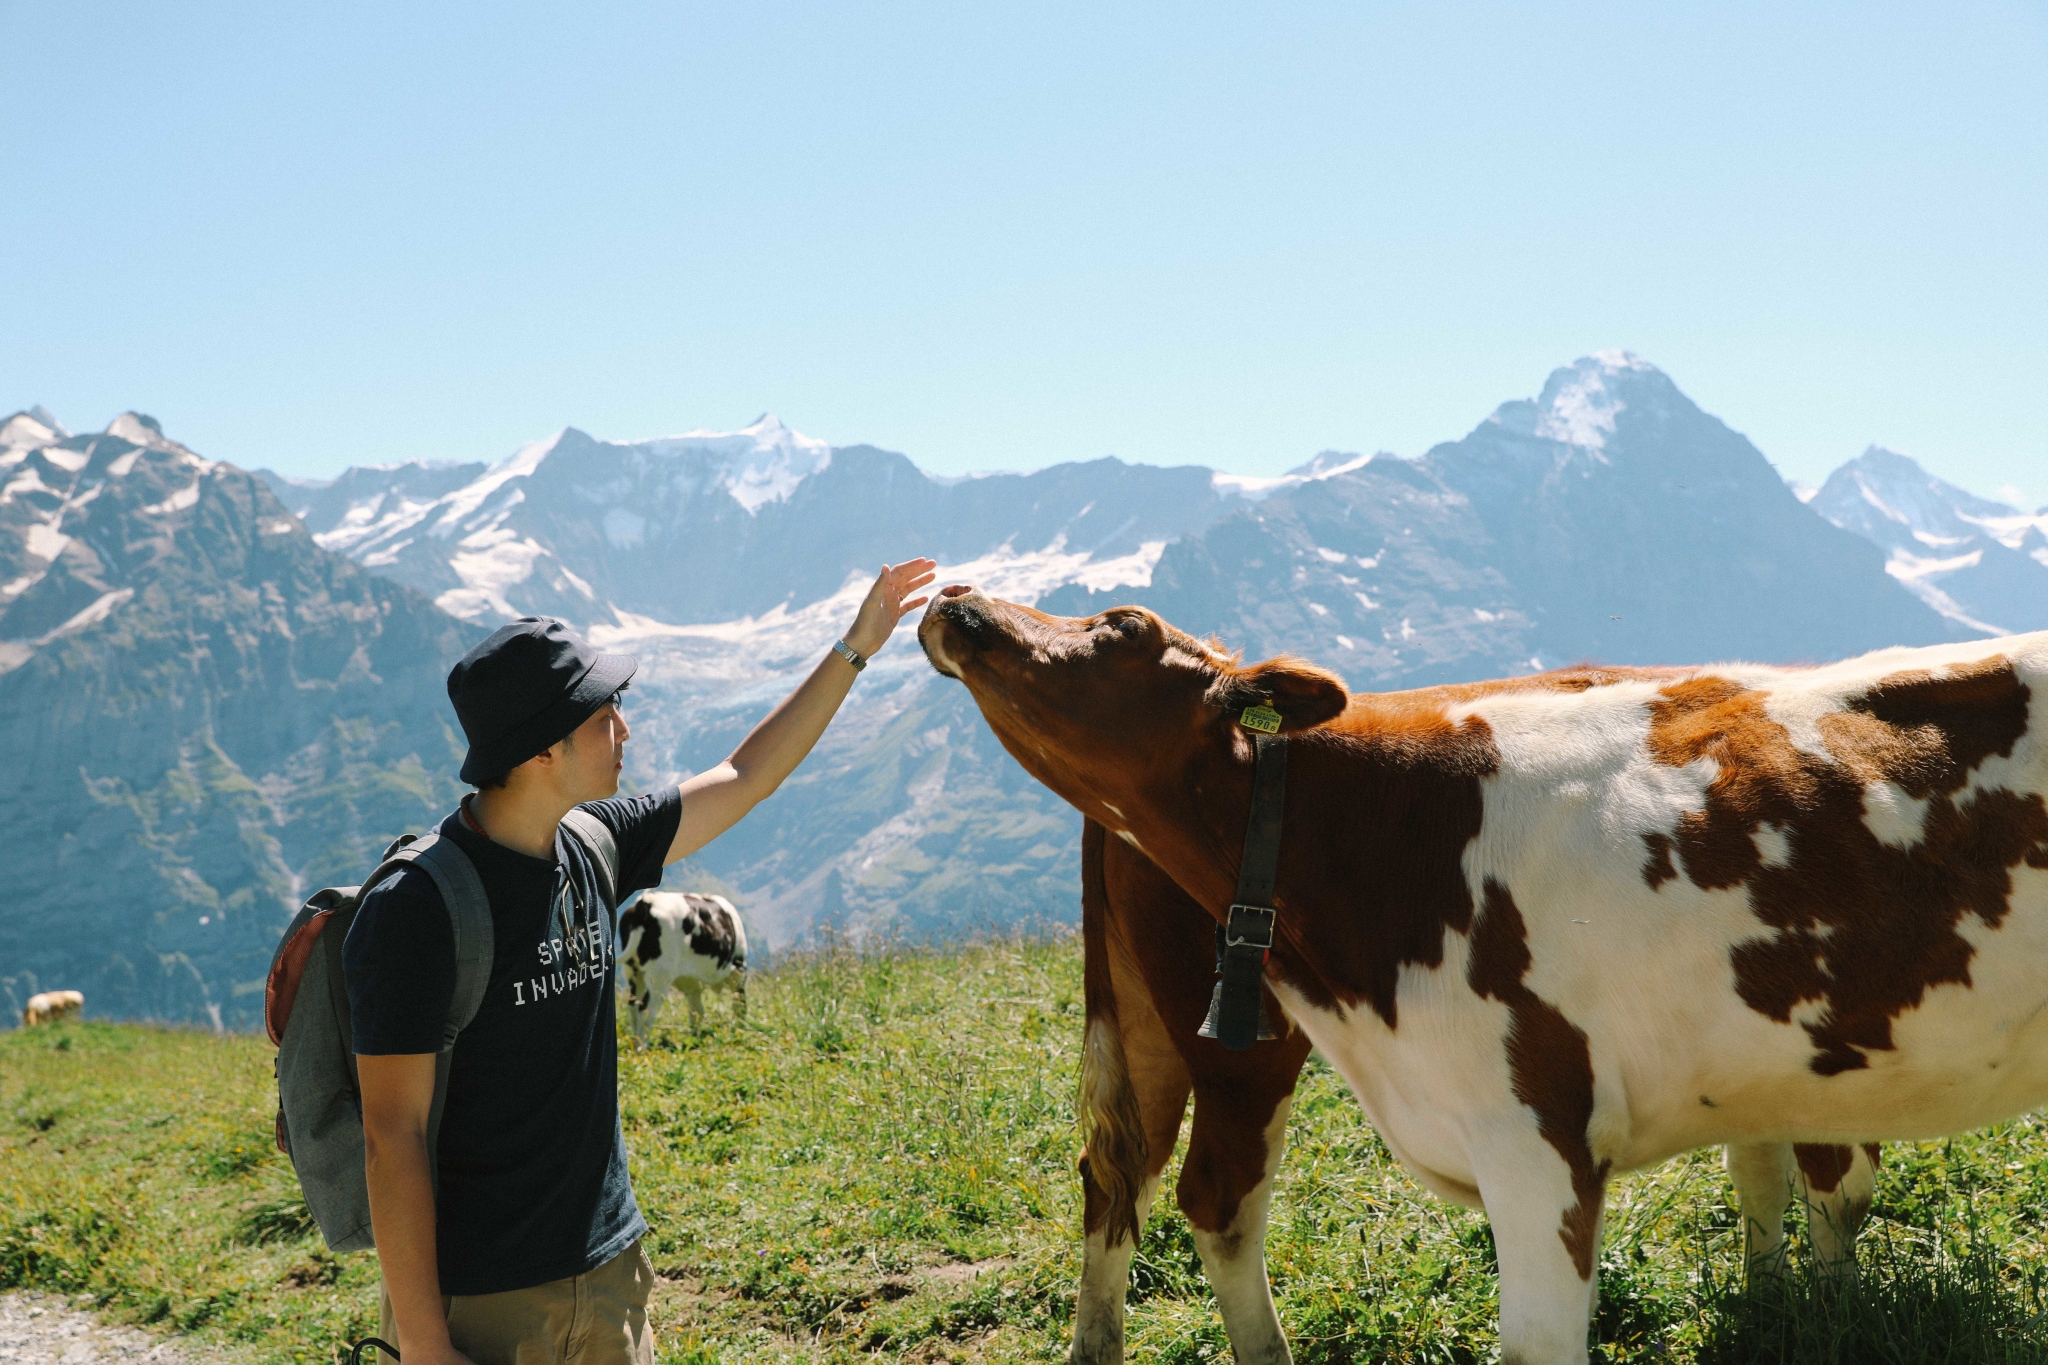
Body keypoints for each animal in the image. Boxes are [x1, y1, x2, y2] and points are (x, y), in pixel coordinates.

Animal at [626, 888, 757, 1047]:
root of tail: (647, 901)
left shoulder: (692, 985)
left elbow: (697, 1012)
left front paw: (695, 1038)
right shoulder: (739, 972)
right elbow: (739, 1005)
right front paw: (740, 1030)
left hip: (634, 973)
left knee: (633, 1005)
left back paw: (634, 1044)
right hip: (659, 976)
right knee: (646, 1009)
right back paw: (642, 1048)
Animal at [929, 589, 2048, 1365]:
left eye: (1121, 623)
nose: (956, 600)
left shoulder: (1542, 1132)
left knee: (1138, 1178)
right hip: (1212, 1037)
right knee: (1197, 1191)